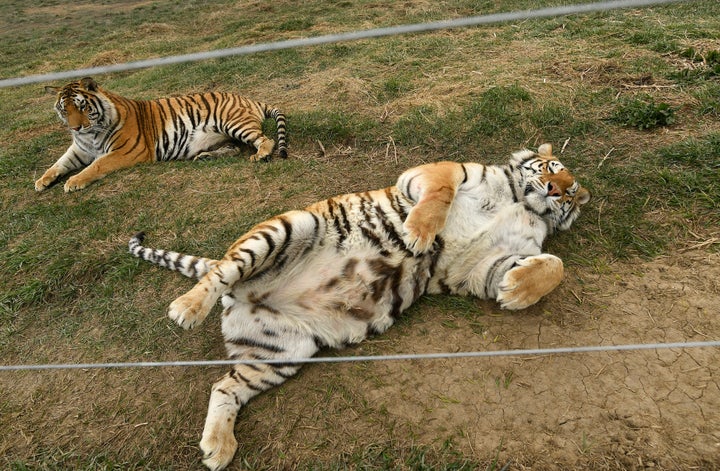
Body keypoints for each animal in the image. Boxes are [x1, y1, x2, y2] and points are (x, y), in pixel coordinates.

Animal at [34, 78, 286, 193]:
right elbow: (59, 163)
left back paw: (261, 155)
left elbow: (96, 165)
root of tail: (248, 99)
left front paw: (73, 182)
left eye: (83, 107)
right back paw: (205, 157)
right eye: (64, 110)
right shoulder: (79, 149)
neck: (90, 135)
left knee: (266, 139)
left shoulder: (126, 151)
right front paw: (42, 181)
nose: (75, 128)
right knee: (234, 148)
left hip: (233, 123)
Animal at [129, 144, 592, 471]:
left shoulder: (481, 264)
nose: (557, 190)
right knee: (221, 272)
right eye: (551, 169)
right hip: (288, 227)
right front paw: (419, 234)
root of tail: (241, 292)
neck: (521, 200)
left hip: (281, 352)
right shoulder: (436, 173)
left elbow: (554, 265)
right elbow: (439, 195)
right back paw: (186, 308)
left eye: (569, 192)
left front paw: (516, 291)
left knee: (223, 386)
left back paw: (218, 448)